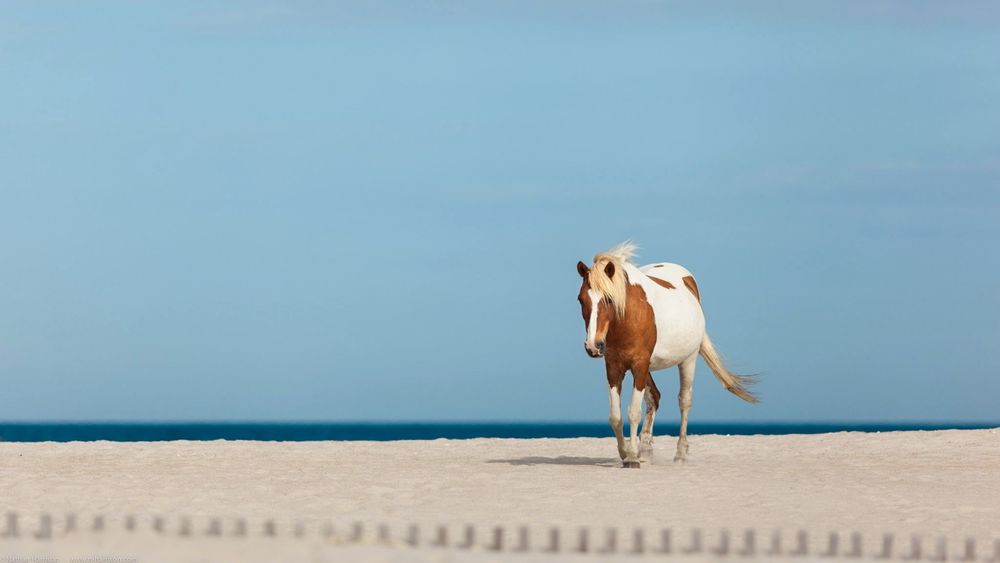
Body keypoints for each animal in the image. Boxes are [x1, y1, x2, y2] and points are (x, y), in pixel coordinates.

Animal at [576, 242, 752, 468]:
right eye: (581, 300)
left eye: (609, 299)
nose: (593, 346)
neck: (628, 318)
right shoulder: (614, 368)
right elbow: (615, 416)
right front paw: (626, 452)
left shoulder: (639, 365)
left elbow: (633, 412)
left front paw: (631, 457)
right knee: (654, 398)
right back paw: (645, 450)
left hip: (688, 360)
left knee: (684, 401)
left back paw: (680, 454)